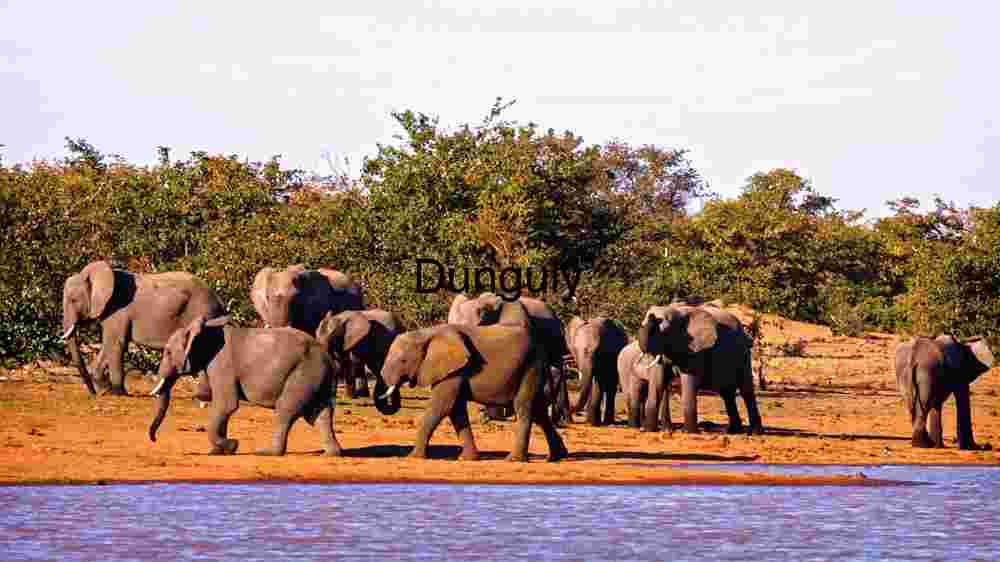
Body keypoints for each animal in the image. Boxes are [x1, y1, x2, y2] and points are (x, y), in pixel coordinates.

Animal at [60, 260, 226, 396]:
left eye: (73, 300)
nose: (93, 394)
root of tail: (219, 300)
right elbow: (110, 344)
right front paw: (105, 390)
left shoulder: (118, 309)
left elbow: (116, 344)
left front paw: (119, 393)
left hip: (202, 311)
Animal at [148, 315, 343, 457]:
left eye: (168, 352)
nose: (154, 440)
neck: (204, 329)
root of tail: (327, 356)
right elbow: (223, 408)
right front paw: (218, 452)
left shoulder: (222, 364)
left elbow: (226, 405)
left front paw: (232, 446)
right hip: (316, 376)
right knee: (321, 413)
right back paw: (331, 454)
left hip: (304, 372)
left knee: (285, 410)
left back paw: (267, 453)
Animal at [379, 323, 568, 462]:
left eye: (403, 361)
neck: (427, 333)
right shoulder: (454, 370)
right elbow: (456, 410)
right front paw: (467, 459)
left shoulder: (456, 369)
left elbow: (441, 407)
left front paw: (413, 457)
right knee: (539, 411)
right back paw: (557, 457)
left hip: (531, 366)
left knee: (524, 407)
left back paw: (513, 460)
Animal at [637, 302, 764, 435]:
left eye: (666, 331)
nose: (652, 316)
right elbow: (657, 383)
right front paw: (648, 430)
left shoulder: (695, 351)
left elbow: (688, 382)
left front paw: (688, 432)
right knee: (727, 393)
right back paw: (733, 431)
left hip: (743, 354)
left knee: (746, 390)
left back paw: (755, 432)